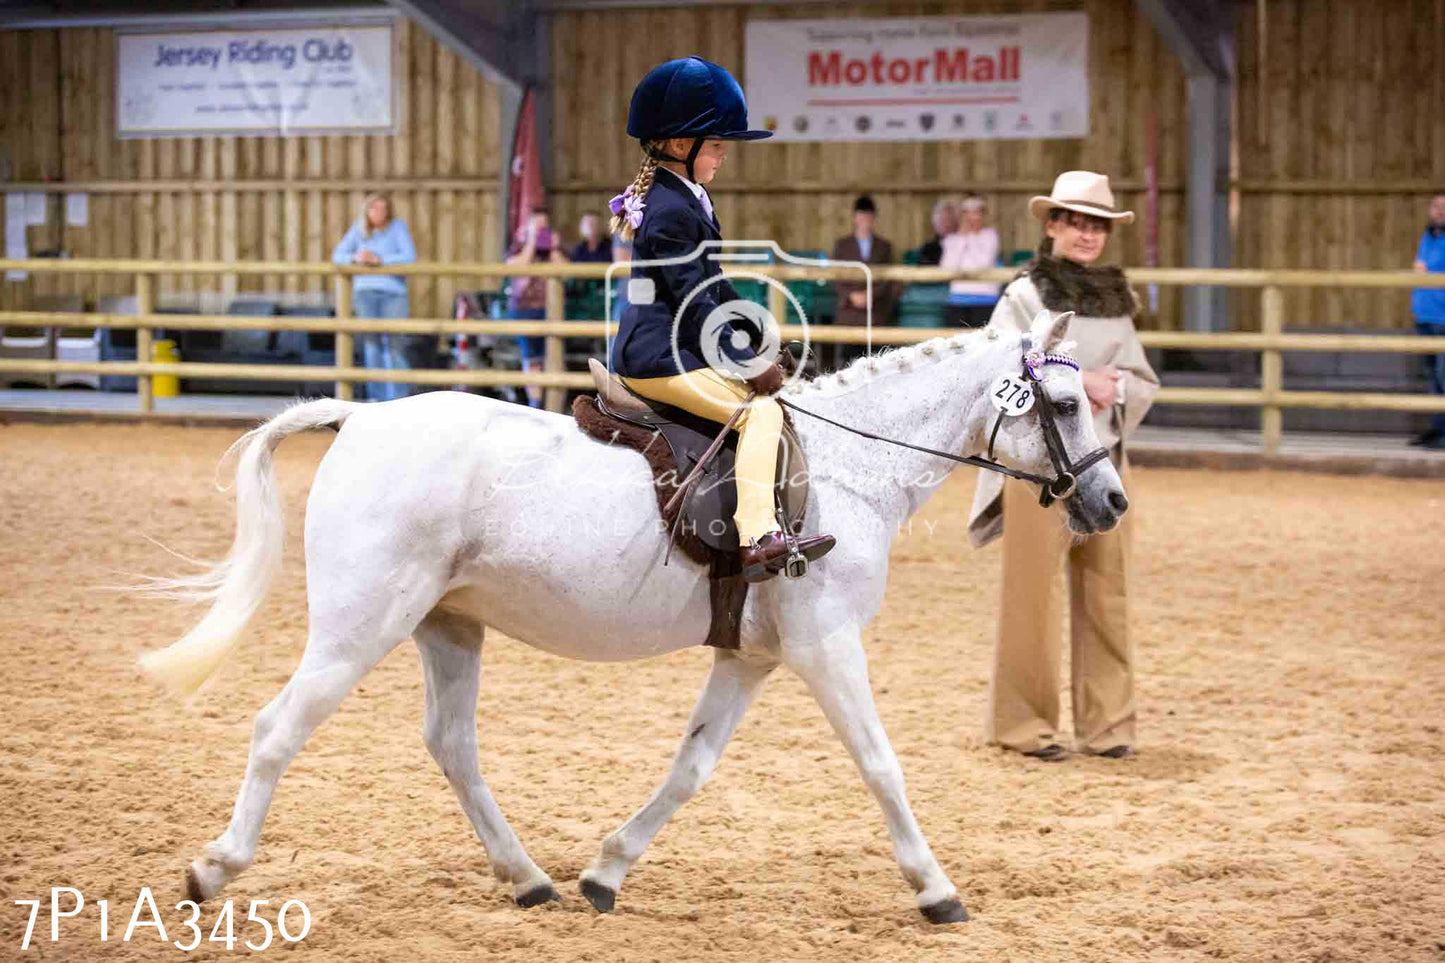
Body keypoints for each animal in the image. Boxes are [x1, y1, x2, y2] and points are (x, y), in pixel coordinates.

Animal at [137, 309, 1127, 925]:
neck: (851, 466)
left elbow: (690, 767)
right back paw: (212, 867)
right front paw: (935, 889)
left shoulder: (751, 657)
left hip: (447, 623)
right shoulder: (825, 645)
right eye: (1063, 404)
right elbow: (882, 765)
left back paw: (528, 878)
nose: (1111, 501)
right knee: (278, 727)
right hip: (360, 625)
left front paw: (605, 870)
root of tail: (360, 420)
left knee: (451, 743)